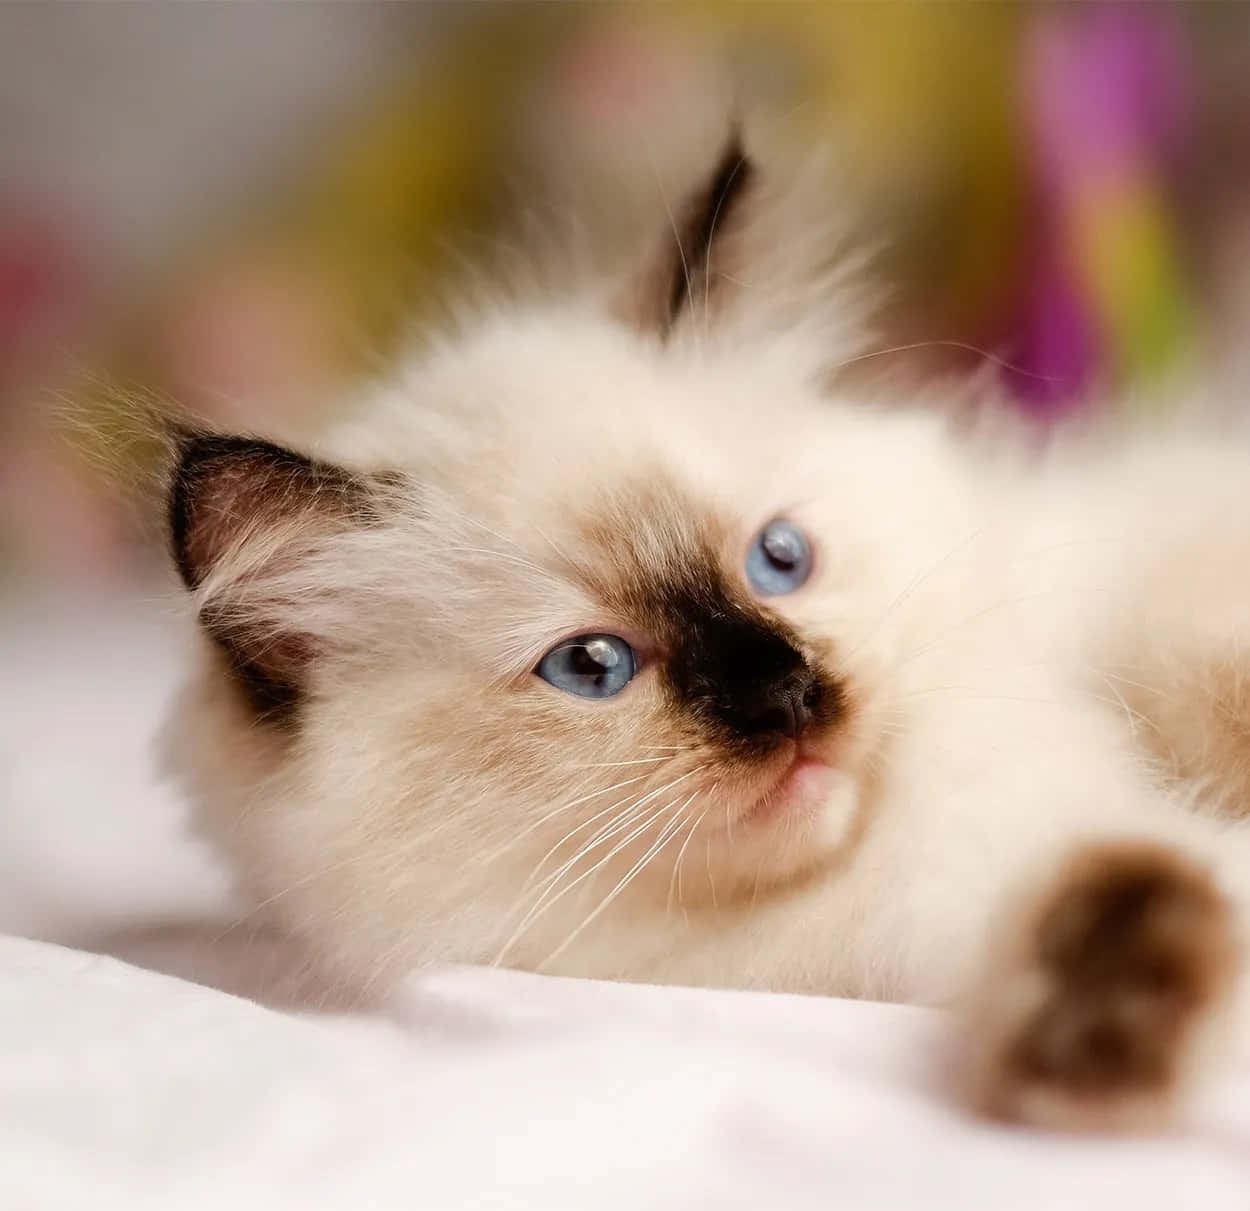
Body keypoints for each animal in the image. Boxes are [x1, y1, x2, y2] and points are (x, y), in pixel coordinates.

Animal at [161, 136, 1250, 1129]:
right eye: (591, 666)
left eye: (778, 559)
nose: (791, 694)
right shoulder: (952, 903)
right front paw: (1117, 997)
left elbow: (1193, 668)